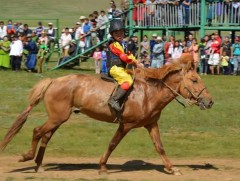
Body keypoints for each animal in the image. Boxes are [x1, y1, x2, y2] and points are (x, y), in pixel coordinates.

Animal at [0, 54, 214, 175]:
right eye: (195, 80)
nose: (210, 101)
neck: (148, 94)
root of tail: (53, 81)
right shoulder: (126, 125)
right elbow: (112, 144)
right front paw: (102, 167)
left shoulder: (151, 124)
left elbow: (160, 148)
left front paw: (172, 168)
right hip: (57, 118)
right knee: (37, 131)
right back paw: (27, 157)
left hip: (58, 119)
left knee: (45, 137)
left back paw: (39, 165)